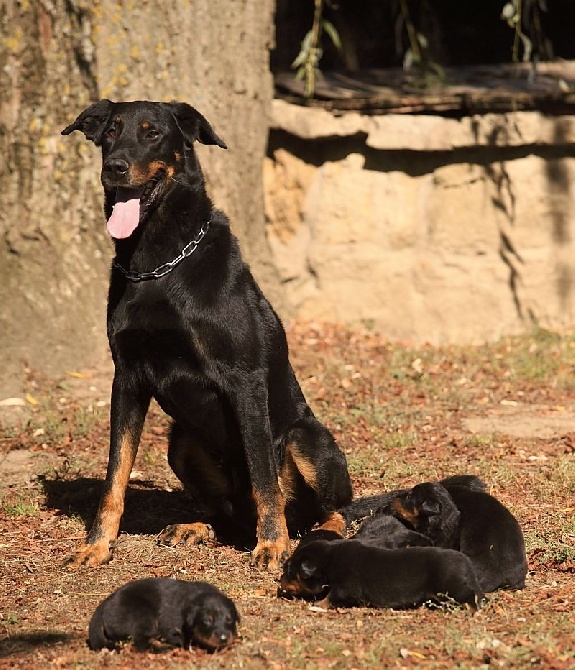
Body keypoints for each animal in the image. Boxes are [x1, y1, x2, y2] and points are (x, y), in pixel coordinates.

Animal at [60, 101, 354, 572]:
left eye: (153, 133)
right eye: (109, 133)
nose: (115, 168)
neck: (157, 264)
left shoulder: (244, 379)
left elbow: (263, 475)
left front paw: (272, 546)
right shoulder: (126, 378)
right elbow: (115, 476)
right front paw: (96, 546)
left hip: (306, 438)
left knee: (330, 510)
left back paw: (307, 534)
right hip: (180, 442)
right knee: (228, 514)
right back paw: (197, 527)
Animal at [87, 580, 238, 652]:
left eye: (229, 619)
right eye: (207, 621)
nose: (224, 638)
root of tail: (105, 603)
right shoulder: (170, 626)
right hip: (143, 615)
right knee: (141, 642)